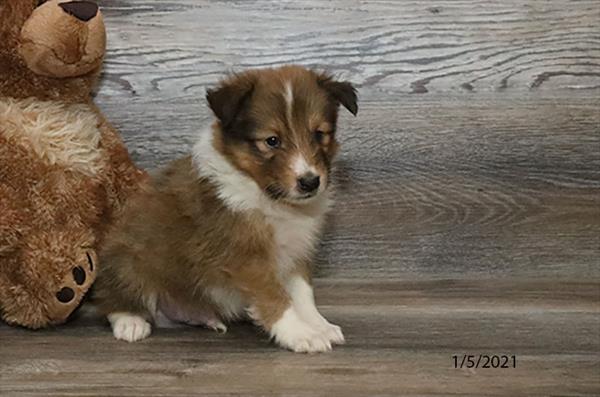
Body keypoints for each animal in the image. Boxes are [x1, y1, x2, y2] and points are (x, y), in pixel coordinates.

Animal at [94, 65, 356, 352]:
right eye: (272, 141)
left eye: (319, 134)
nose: (310, 182)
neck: (272, 200)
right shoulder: (246, 256)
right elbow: (275, 297)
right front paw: (300, 334)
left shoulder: (297, 250)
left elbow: (303, 294)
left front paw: (319, 325)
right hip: (128, 259)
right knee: (113, 299)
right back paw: (130, 322)